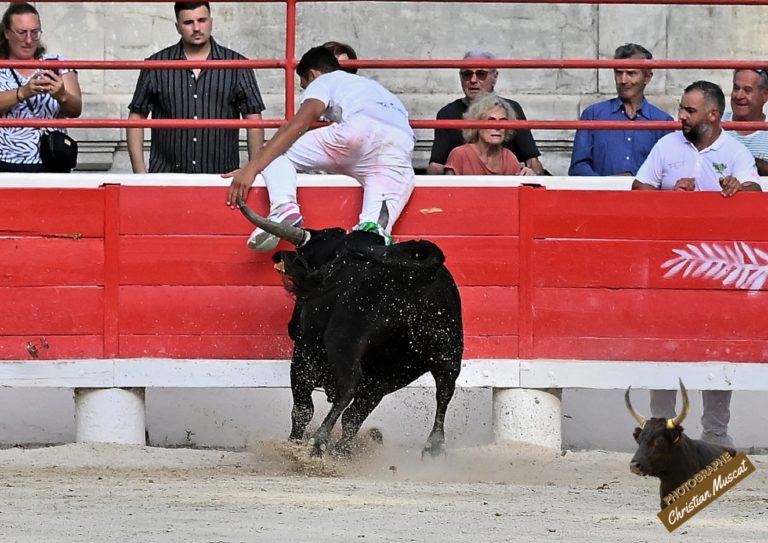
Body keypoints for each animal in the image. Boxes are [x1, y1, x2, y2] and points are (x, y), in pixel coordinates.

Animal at [238, 202, 462, 456]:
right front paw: (343, 452)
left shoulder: (302, 359)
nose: (291, 326)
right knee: (444, 389)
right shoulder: (380, 381)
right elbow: (353, 418)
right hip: (443, 351)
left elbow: (302, 410)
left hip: (343, 341)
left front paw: (295, 444)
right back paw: (433, 446)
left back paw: (318, 441)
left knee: (346, 389)